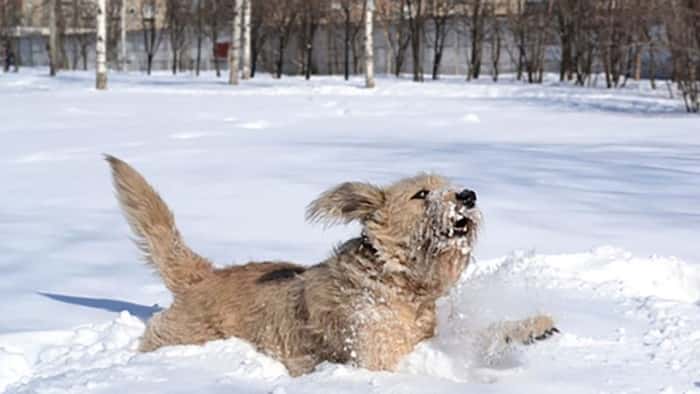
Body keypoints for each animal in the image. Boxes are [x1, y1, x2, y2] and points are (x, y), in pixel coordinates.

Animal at [105, 155, 556, 376]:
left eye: (448, 187)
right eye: (421, 194)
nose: (468, 195)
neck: (394, 279)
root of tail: (202, 276)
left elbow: (479, 333)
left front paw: (528, 328)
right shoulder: (378, 355)